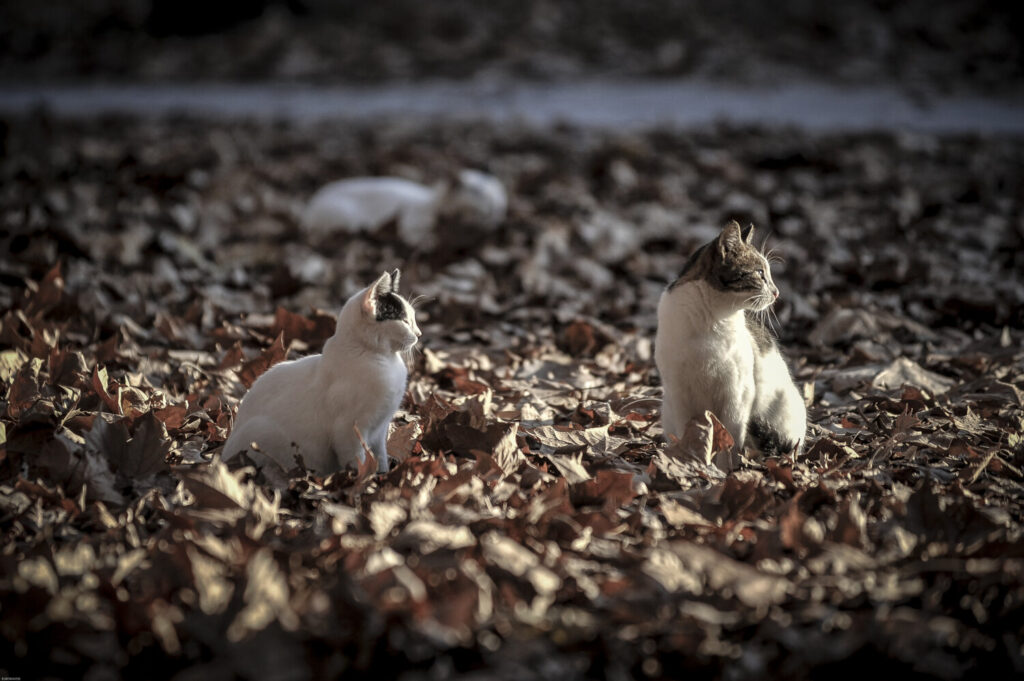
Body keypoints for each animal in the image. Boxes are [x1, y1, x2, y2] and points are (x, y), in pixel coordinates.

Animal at [221, 268, 419, 471]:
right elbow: (358, 462)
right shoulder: (349, 431)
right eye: (405, 321)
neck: (382, 359)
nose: (418, 334)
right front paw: (364, 479)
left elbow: (381, 458)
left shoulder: (380, 430)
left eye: (413, 318)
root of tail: (224, 453)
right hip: (265, 434)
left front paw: (382, 475)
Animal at [655, 220, 806, 454]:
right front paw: (690, 456)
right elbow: (686, 432)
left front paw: (726, 462)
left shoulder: (737, 392)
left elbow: (732, 437)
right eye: (760, 273)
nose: (777, 293)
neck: (711, 319)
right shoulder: (678, 391)